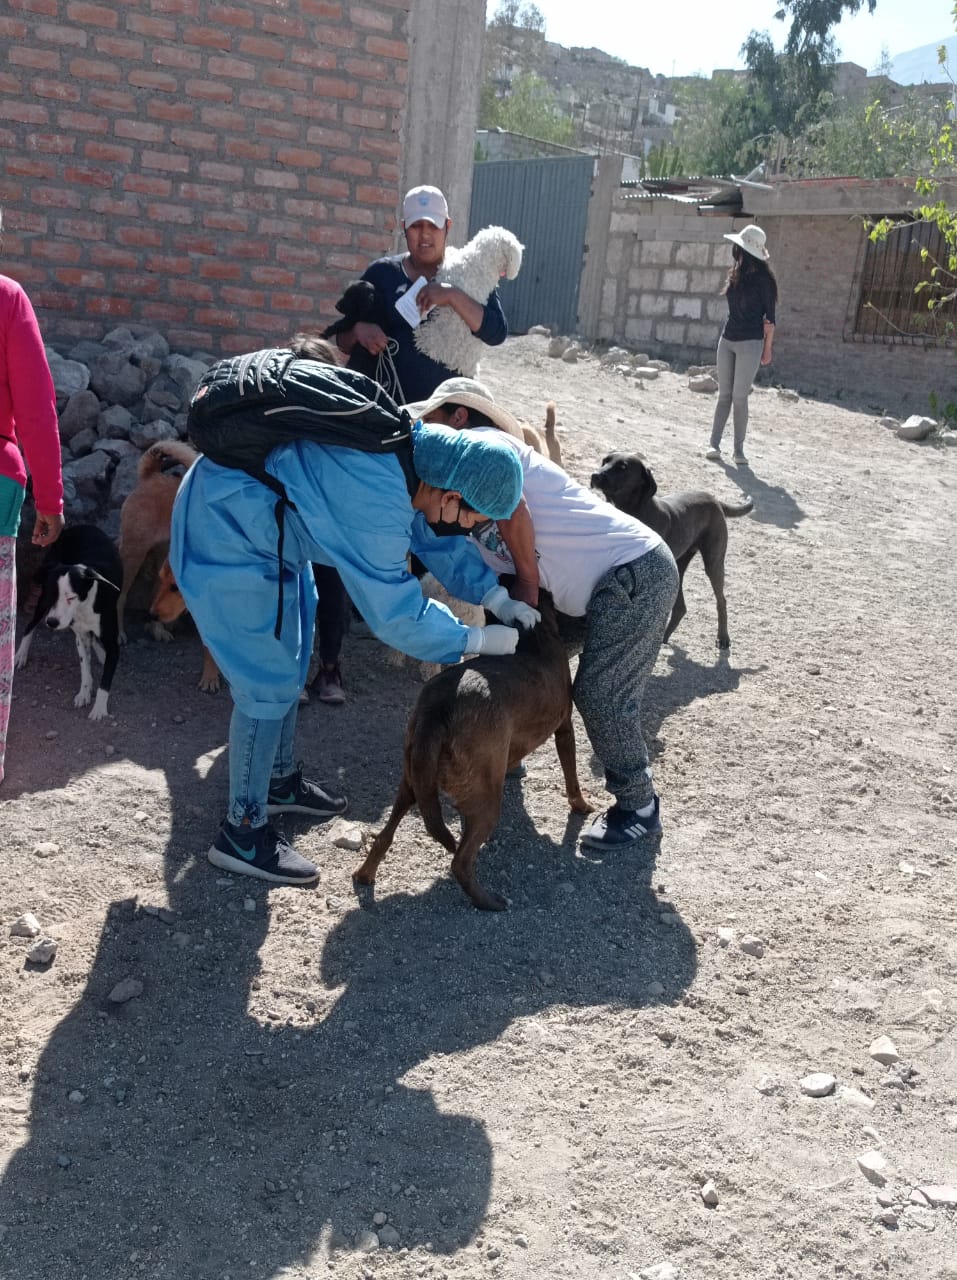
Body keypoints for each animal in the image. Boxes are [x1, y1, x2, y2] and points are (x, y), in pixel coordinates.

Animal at [15, 522, 123, 721]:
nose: (51, 622)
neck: (85, 606)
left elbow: (105, 680)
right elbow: (85, 668)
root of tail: (80, 526)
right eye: (53, 595)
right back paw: (20, 655)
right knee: (30, 625)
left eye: (71, 597)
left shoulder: (111, 643)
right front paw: (84, 693)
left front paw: (99, 707)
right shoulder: (79, 635)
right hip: (42, 601)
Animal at [350, 588, 591, 911]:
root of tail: (438, 710)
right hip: (487, 797)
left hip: (413, 781)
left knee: (384, 836)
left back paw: (365, 874)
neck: (533, 635)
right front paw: (582, 806)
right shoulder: (564, 728)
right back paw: (489, 901)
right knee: (460, 862)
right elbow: (572, 777)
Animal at [591, 453, 757, 650]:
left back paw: (723, 637)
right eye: (605, 461)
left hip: (713, 562)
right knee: (681, 608)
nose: (595, 476)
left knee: (721, 600)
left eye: (623, 467)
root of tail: (714, 499)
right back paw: (664, 638)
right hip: (679, 565)